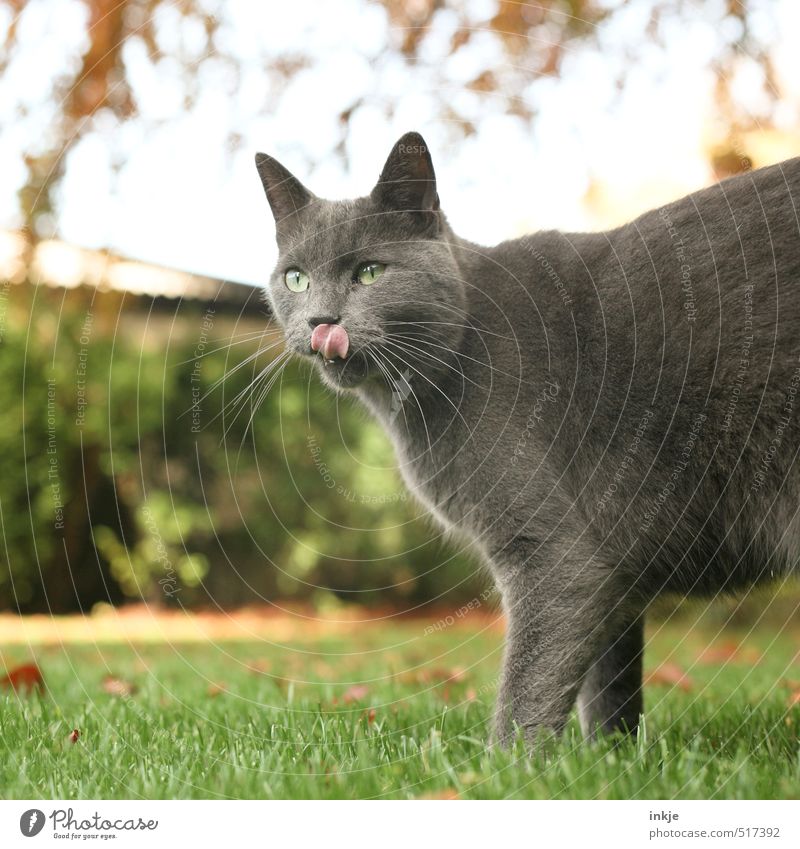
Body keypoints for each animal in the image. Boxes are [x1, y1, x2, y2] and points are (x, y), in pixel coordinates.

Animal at [255, 131, 800, 744]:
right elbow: (607, 685)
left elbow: (529, 684)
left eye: (371, 272)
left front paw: (508, 763)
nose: (320, 320)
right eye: (295, 277)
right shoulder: (614, 569)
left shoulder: (557, 553)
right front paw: (609, 755)